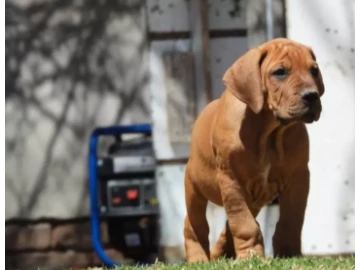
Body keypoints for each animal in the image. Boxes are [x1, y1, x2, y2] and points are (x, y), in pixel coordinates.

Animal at [184, 38, 324, 262]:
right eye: (280, 72)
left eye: (314, 71)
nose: (312, 96)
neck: (269, 133)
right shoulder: (231, 181)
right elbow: (245, 225)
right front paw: (251, 256)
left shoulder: (299, 178)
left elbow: (291, 220)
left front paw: (289, 254)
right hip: (194, 187)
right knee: (195, 225)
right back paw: (199, 258)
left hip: (253, 200)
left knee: (227, 228)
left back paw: (220, 254)